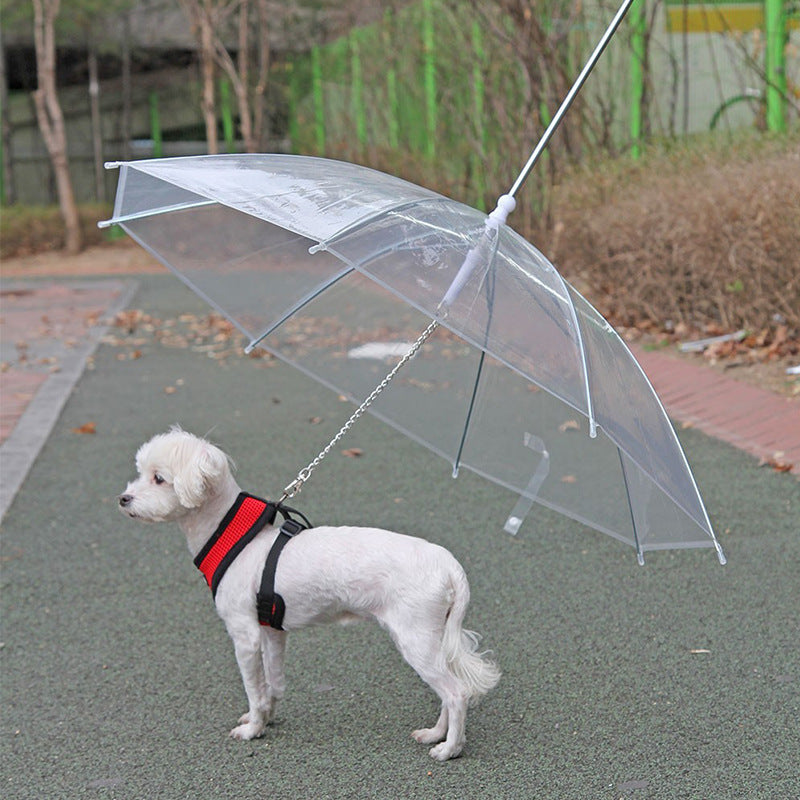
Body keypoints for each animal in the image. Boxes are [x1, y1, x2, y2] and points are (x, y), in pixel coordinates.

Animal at [117, 428, 500, 760]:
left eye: (159, 478)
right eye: (140, 473)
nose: (123, 499)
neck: (236, 539)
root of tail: (448, 564)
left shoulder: (245, 636)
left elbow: (254, 688)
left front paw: (252, 729)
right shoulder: (271, 633)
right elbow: (273, 685)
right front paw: (266, 718)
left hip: (416, 639)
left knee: (456, 693)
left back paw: (450, 749)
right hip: (432, 638)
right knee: (448, 693)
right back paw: (436, 734)